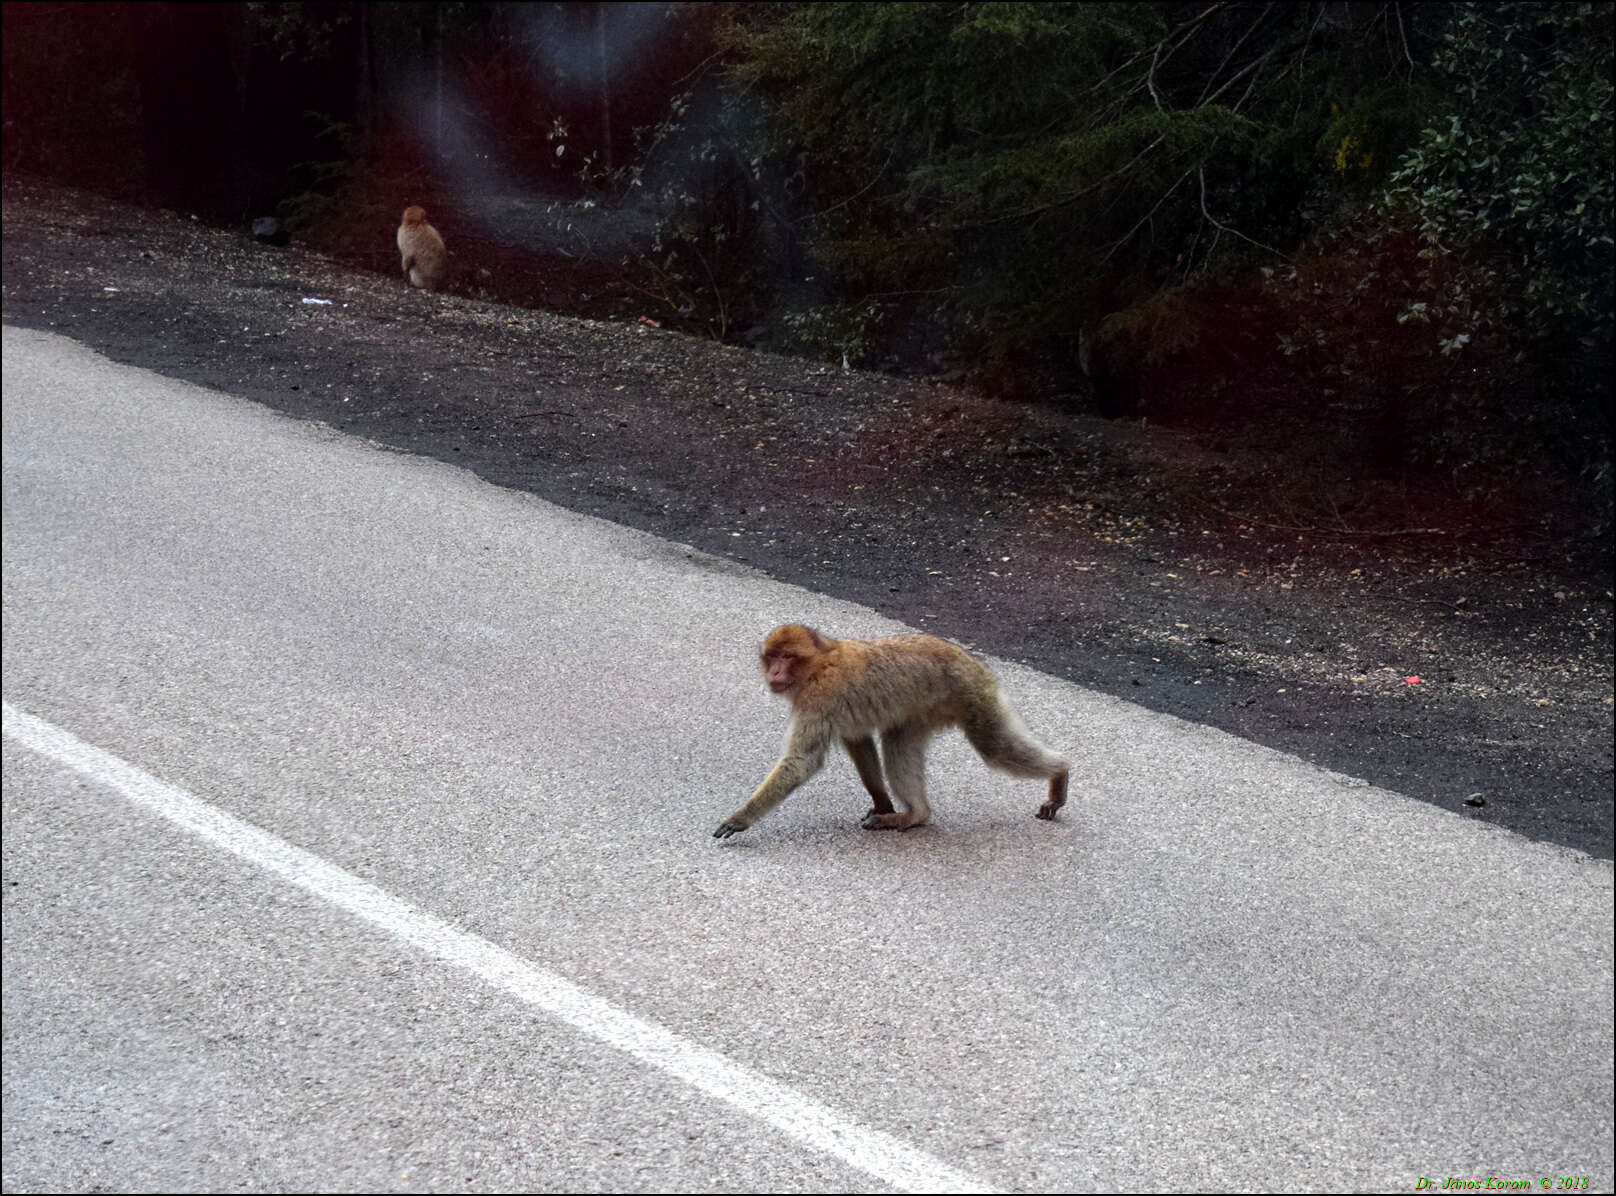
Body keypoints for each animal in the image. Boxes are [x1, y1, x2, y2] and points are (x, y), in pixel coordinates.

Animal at [717, 627, 1073, 840]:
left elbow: (802, 761)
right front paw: (883, 802)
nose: (775, 671)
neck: (819, 663)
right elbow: (858, 740)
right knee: (898, 742)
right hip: (925, 711)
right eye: (772, 657)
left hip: (973, 695)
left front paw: (741, 817)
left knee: (996, 748)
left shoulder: (819, 699)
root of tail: (973, 662)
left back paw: (1061, 772)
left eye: (787, 657)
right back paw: (915, 814)